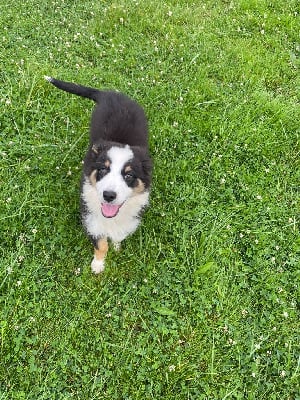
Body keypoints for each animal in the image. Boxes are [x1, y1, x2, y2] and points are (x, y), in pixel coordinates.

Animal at [45, 76, 152, 274]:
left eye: (129, 175)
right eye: (102, 169)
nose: (108, 195)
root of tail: (110, 93)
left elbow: (119, 235)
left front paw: (116, 246)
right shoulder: (90, 217)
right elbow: (101, 244)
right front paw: (98, 265)